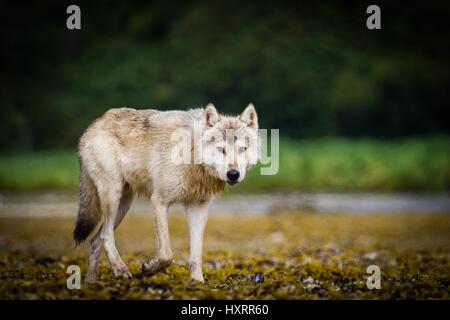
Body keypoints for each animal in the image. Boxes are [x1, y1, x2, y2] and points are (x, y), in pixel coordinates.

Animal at [72, 102, 258, 282]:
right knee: (105, 235)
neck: (191, 154)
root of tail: (95, 123)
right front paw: (148, 268)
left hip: (123, 206)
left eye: (242, 149)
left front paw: (197, 281)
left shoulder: (198, 207)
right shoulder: (159, 201)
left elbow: (196, 255)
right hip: (113, 196)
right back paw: (121, 270)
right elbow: (167, 255)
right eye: (221, 149)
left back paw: (91, 281)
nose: (233, 174)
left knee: (96, 240)